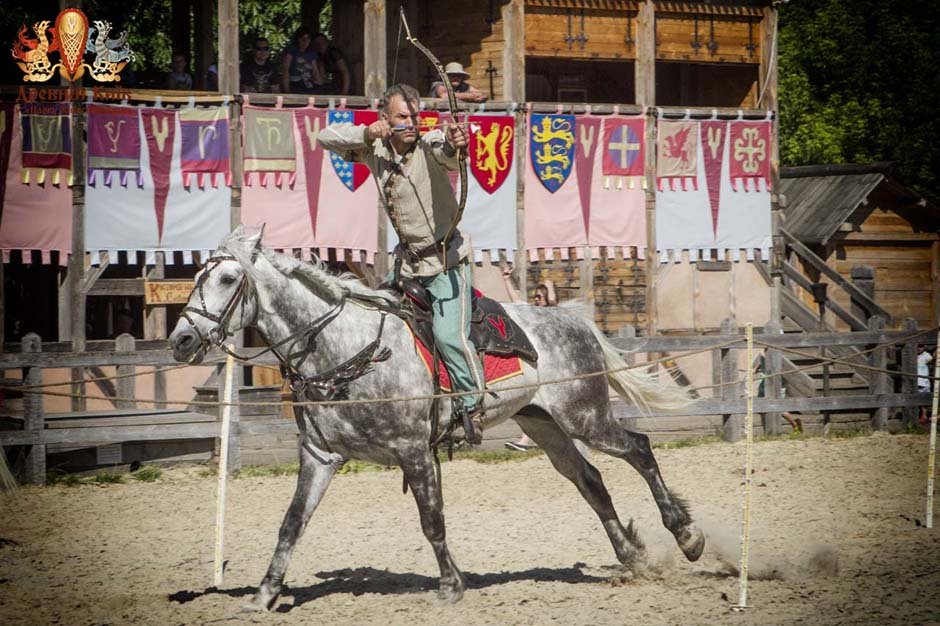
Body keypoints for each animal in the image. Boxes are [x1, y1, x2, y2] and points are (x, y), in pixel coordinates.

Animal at [169, 227, 700, 608]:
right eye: (195, 277)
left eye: (228, 279)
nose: (181, 340)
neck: (348, 348)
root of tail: (573, 318)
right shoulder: (319, 456)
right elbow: (292, 523)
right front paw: (265, 593)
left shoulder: (414, 452)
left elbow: (432, 521)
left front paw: (450, 585)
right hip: (544, 424)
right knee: (590, 479)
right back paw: (631, 555)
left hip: (584, 416)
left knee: (638, 448)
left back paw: (687, 535)